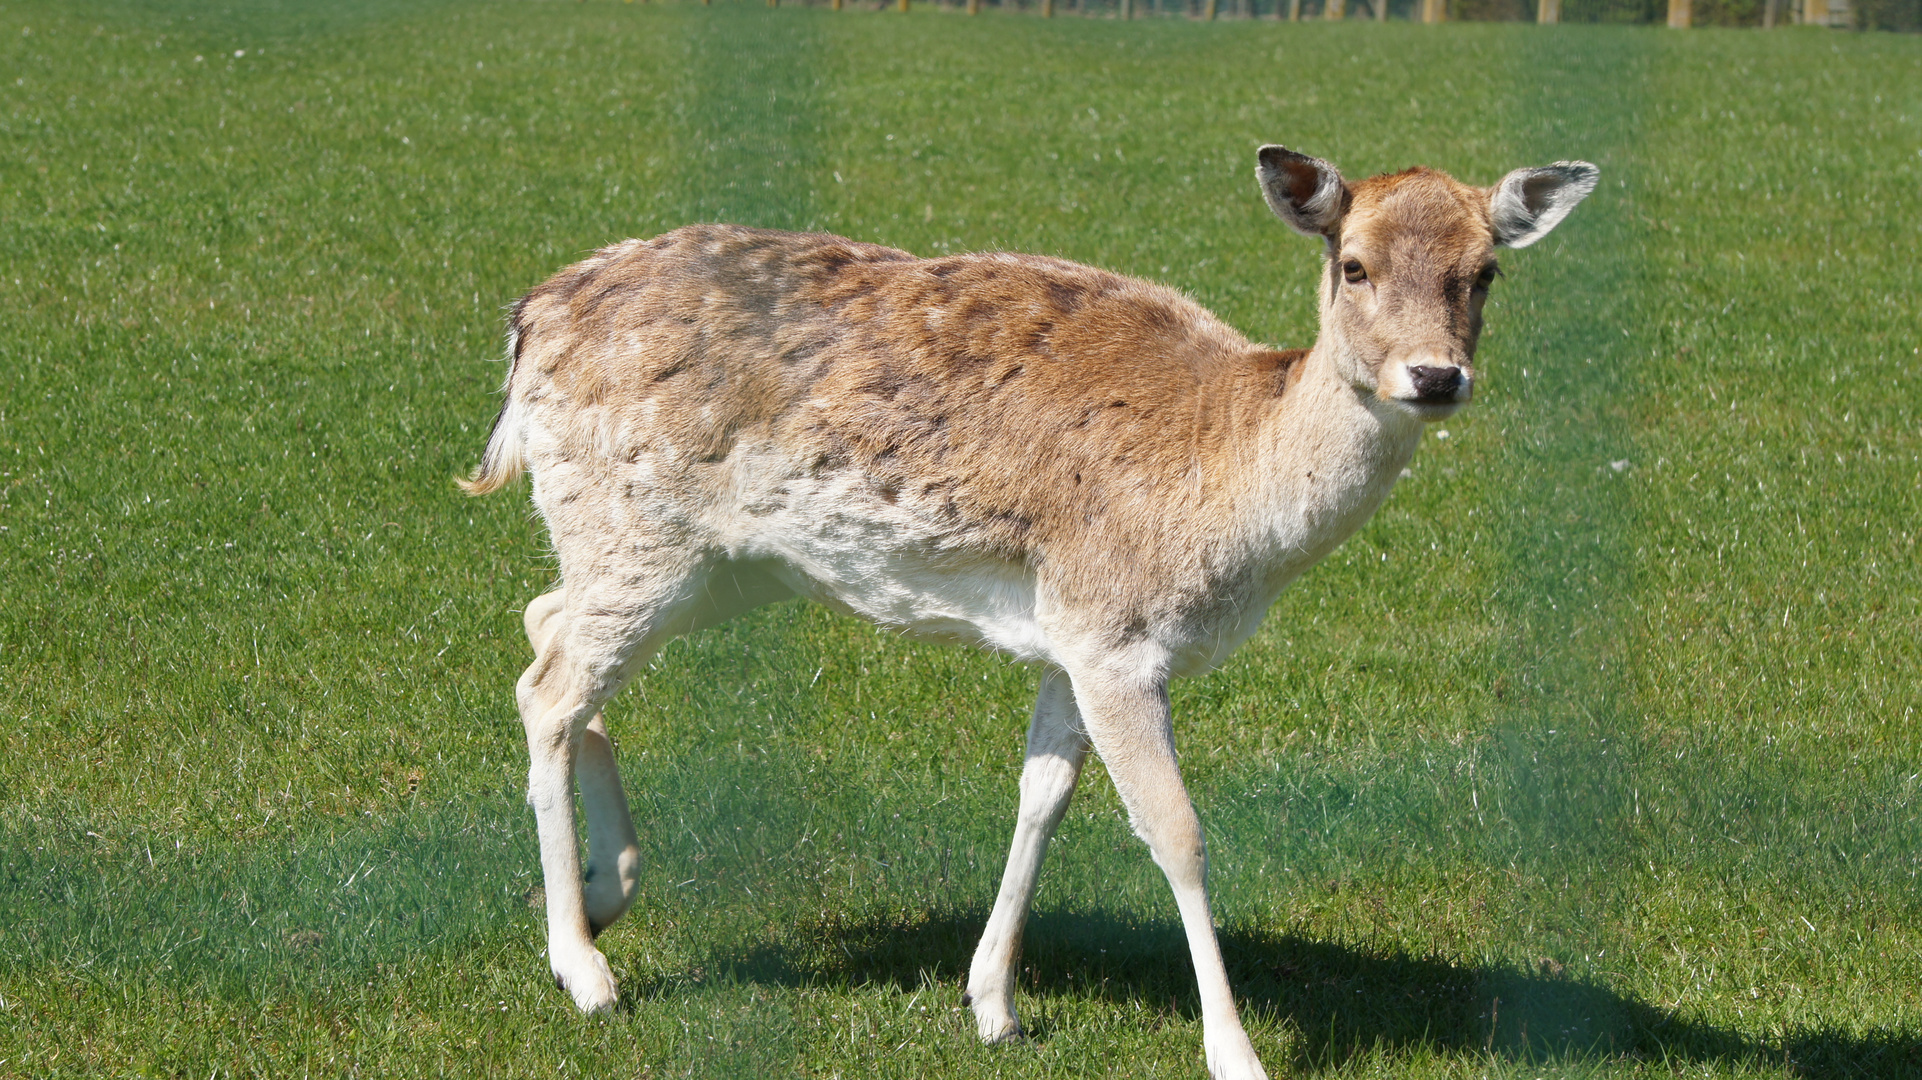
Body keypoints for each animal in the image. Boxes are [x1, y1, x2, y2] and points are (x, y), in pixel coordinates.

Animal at [461, 145, 1591, 1076]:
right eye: (1351, 264)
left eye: (1485, 269)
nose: (1435, 376)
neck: (1232, 495)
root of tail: (527, 322)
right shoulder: (1116, 635)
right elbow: (1175, 830)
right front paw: (1236, 1055)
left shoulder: (1068, 635)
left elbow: (1040, 794)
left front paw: (993, 1003)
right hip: (639, 531)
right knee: (548, 687)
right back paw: (583, 968)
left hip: (711, 562)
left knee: (542, 625)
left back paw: (610, 888)